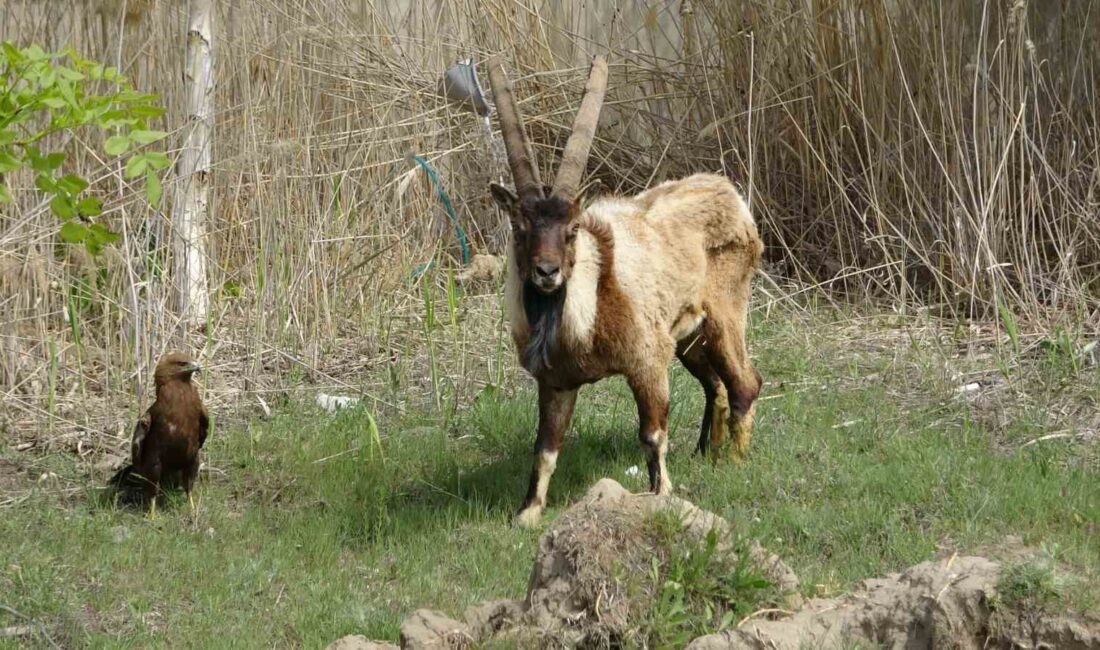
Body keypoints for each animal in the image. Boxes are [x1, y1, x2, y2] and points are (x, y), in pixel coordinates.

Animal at [490, 53, 765, 525]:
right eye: (520, 228)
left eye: (572, 229)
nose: (547, 272)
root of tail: (731, 196)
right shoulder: (557, 382)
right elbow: (545, 449)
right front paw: (527, 514)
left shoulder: (647, 360)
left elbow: (652, 434)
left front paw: (662, 496)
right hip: (688, 337)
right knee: (715, 385)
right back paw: (706, 453)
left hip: (724, 313)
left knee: (745, 381)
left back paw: (733, 461)